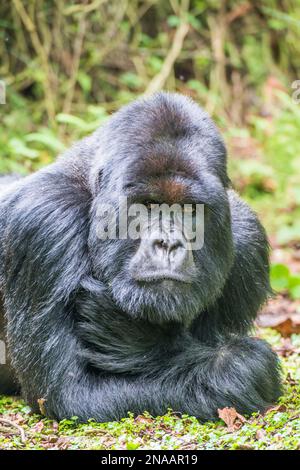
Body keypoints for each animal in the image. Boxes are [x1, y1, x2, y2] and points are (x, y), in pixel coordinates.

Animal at [0, 92, 282, 422]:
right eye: (147, 205)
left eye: (190, 209)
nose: (168, 244)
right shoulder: (44, 221)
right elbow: (69, 392)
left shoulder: (248, 238)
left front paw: (142, 344)